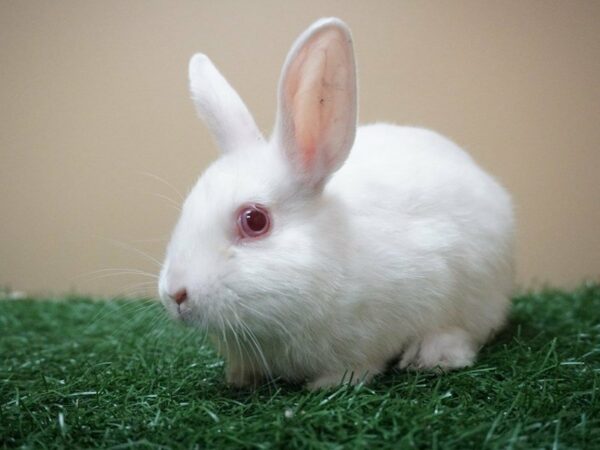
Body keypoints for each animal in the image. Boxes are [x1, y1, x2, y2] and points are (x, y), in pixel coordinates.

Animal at [159, 18, 516, 390]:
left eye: (254, 220)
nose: (175, 294)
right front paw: (239, 378)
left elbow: (359, 364)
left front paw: (328, 385)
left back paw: (432, 356)